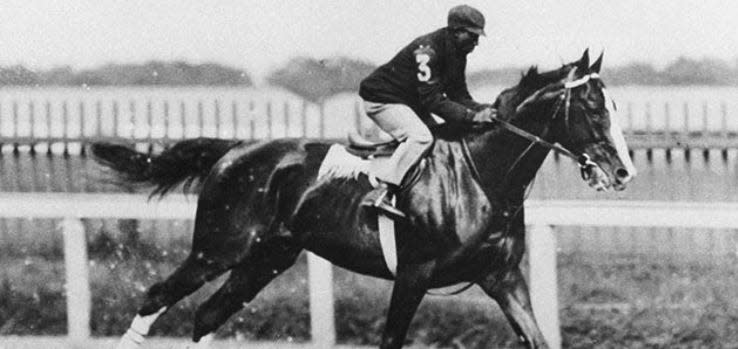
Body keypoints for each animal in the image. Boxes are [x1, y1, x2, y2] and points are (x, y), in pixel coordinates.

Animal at [90, 49, 632, 348]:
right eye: (592, 106)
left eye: (614, 104)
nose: (623, 171)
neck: (480, 176)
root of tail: (234, 150)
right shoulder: (414, 274)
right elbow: (391, 338)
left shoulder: (501, 276)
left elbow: (537, 337)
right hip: (220, 247)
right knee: (157, 296)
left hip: (268, 257)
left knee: (207, 315)